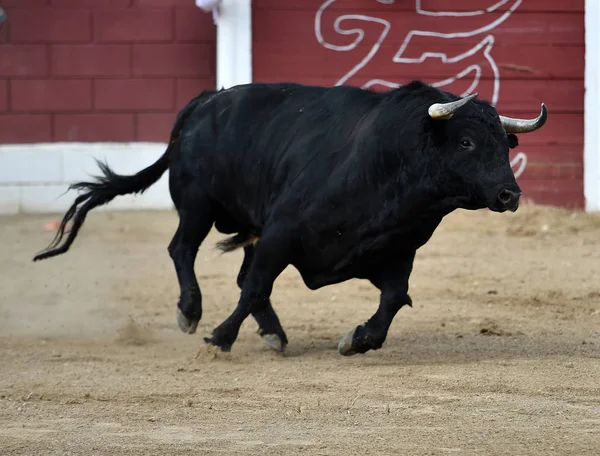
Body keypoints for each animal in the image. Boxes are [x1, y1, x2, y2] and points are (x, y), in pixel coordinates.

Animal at [34, 81, 548, 356]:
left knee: (234, 269)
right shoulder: (281, 234)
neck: (383, 165)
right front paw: (219, 338)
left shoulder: (398, 249)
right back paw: (192, 313)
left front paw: (358, 339)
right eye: (466, 142)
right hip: (199, 205)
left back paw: (273, 333)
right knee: (183, 249)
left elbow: (394, 299)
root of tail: (207, 100)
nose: (510, 194)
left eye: (504, 146)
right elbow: (255, 286)